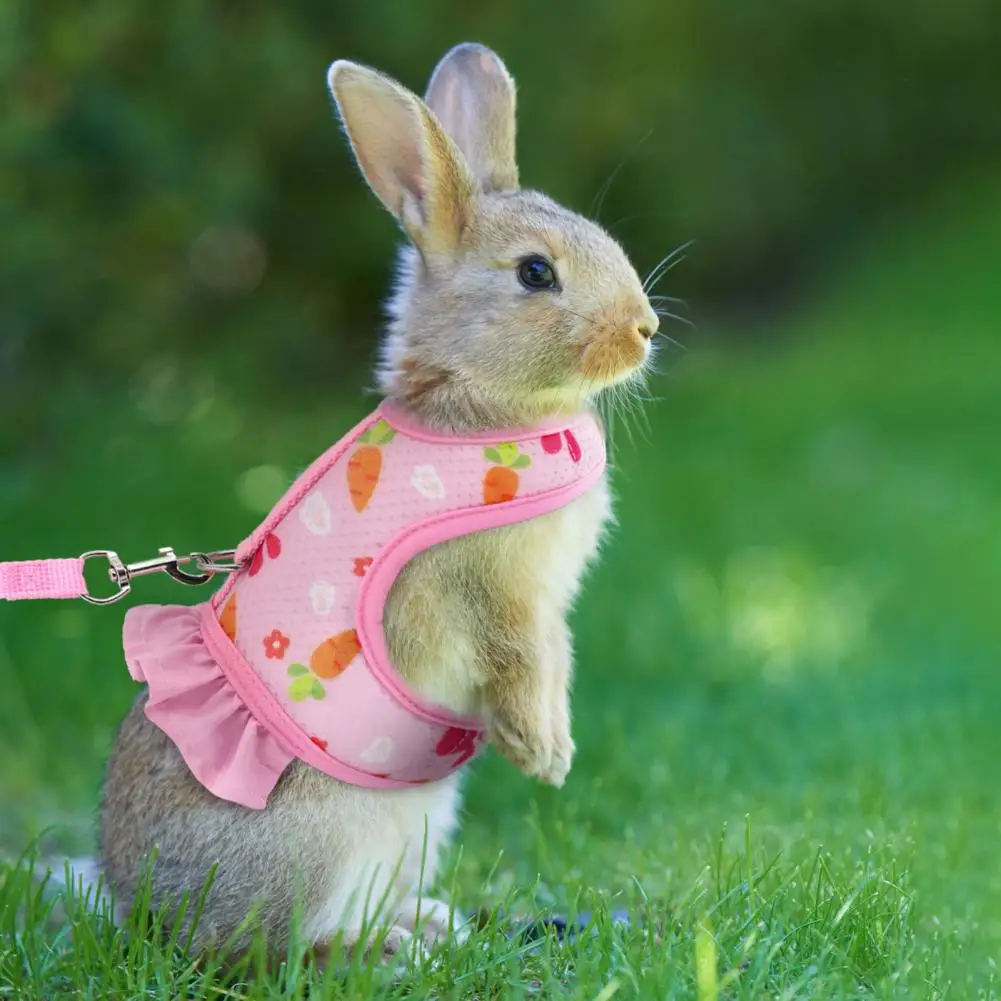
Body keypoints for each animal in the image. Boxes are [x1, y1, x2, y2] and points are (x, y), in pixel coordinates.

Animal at [98, 42, 660, 966]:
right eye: (535, 273)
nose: (643, 329)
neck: (474, 400)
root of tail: (149, 915)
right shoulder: (491, 591)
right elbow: (521, 658)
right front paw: (545, 755)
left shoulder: (545, 603)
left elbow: (554, 656)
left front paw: (549, 750)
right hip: (319, 844)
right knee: (275, 950)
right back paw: (396, 949)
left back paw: (423, 924)